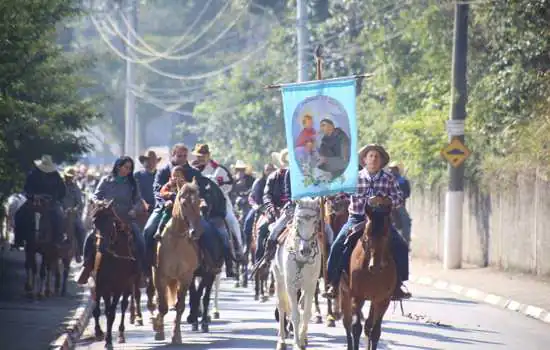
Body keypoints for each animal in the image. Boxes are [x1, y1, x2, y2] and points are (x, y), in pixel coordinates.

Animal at [91, 201, 141, 348]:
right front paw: (99, 333)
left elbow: (112, 313)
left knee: (124, 305)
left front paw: (108, 341)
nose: (101, 247)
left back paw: (121, 334)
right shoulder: (101, 285)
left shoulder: (118, 287)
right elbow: (98, 310)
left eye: (110, 222)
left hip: (129, 284)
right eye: (94, 221)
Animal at [152, 179, 204, 344]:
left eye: (199, 202)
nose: (196, 232)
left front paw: (176, 336)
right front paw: (158, 328)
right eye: (184, 203)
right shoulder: (160, 275)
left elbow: (179, 306)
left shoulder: (186, 277)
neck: (176, 240)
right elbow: (162, 306)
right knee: (159, 299)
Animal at [272, 197, 322, 350]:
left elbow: (306, 313)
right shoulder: (290, 285)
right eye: (298, 221)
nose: (305, 250)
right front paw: (296, 343)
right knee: (281, 306)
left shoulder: (311, 285)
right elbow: (295, 315)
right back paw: (281, 340)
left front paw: (302, 339)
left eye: (315, 222)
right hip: (279, 280)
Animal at [340, 196, 396, 350]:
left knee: (368, 325)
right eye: (367, 235)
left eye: (386, 234)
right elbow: (356, 328)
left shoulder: (383, 300)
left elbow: (375, 331)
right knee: (347, 323)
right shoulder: (357, 297)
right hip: (344, 293)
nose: (375, 267)